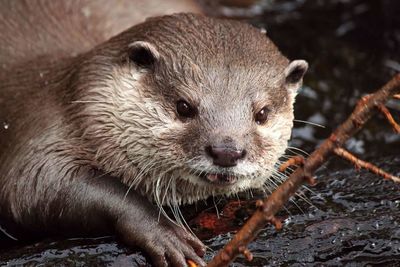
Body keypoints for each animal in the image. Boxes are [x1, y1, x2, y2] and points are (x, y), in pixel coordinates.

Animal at [0, 1, 308, 266]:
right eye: (184, 106)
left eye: (262, 113)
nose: (226, 151)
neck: (79, 104)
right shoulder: (43, 132)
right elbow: (32, 187)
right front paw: (163, 232)